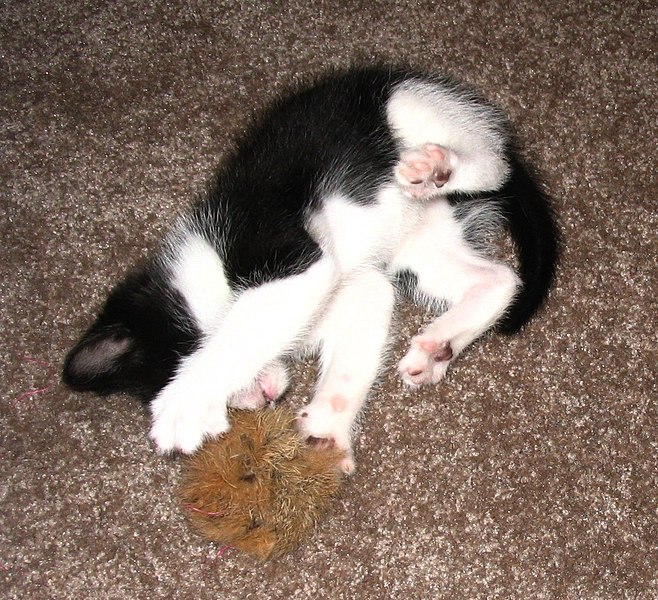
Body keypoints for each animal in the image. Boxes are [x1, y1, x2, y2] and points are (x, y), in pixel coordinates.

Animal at [61, 68, 556, 472]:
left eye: (181, 362)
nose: (260, 398)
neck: (209, 269)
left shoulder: (282, 252)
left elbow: (241, 334)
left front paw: (184, 403)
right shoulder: (357, 287)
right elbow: (357, 345)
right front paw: (327, 431)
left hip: (409, 104)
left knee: (493, 163)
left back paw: (439, 166)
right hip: (421, 248)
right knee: (499, 278)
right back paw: (438, 346)